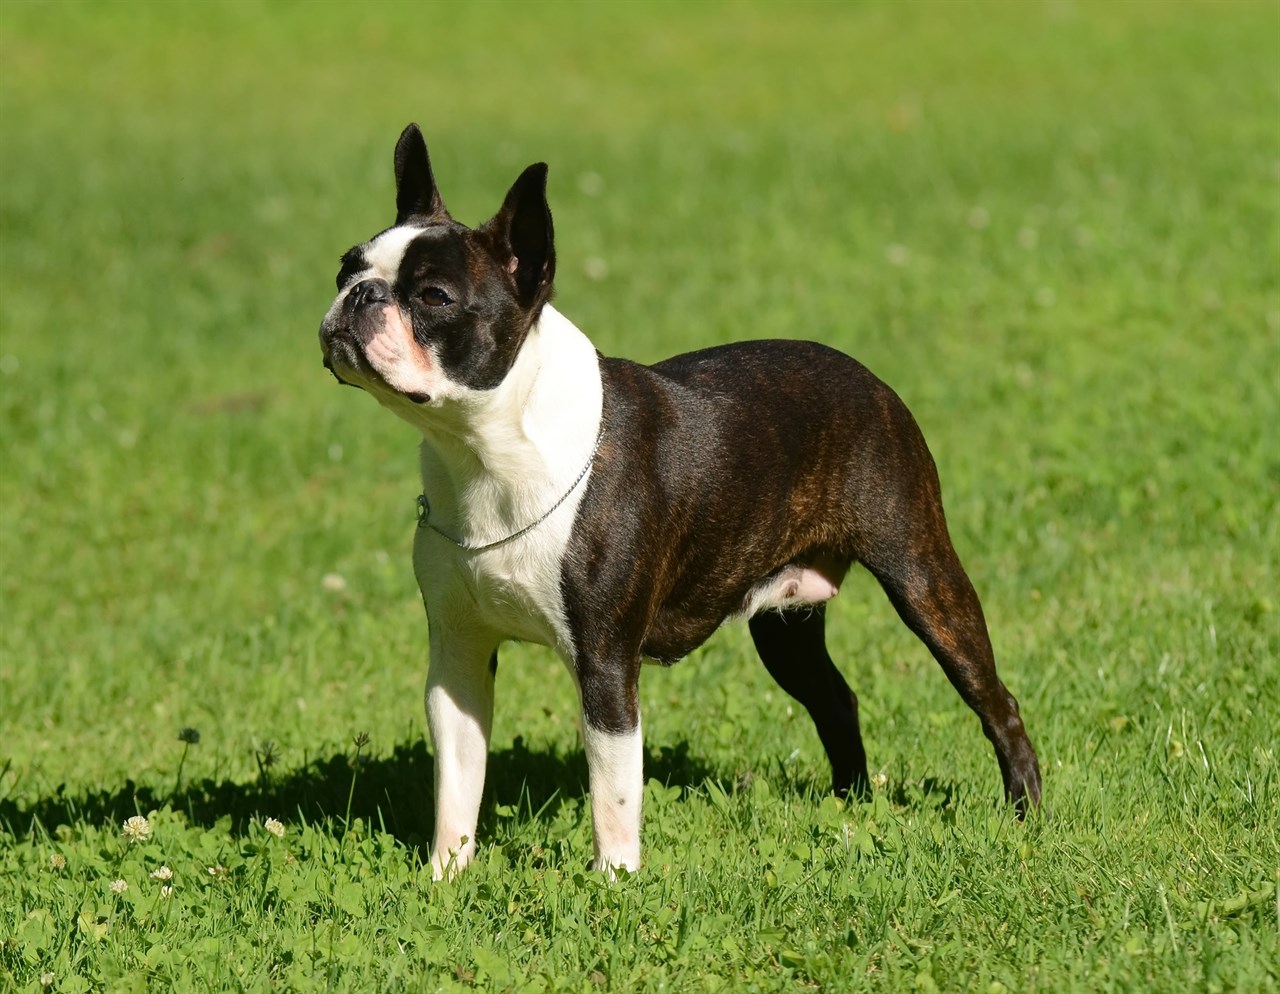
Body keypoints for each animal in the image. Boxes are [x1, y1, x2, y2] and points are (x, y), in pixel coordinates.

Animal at [317, 124, 1039, 875]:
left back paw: (1024, 816)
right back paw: (849, 806)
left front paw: (613, 882)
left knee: (996, 700)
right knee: (836, 699)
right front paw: (444, 877)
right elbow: (458, 783)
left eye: (433, 297)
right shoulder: (458, 655)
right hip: (786, 626)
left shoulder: (607, 663)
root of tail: (870, 378)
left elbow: (613, 791)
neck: (485, 454)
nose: (360, 296)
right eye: (345, 268)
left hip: (924, 579)